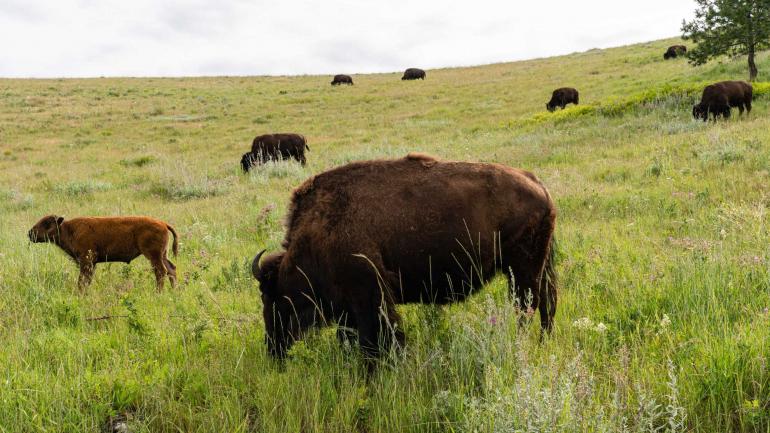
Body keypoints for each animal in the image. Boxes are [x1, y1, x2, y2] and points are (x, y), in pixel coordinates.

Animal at [29, 215, 179, 290]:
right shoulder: (91, 264)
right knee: (171, 269)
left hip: (153, 256)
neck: (69, 229)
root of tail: (163, 224)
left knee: (161, 272)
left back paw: (158, 292)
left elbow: (82, 280)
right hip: (162, 255)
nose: (30, 233)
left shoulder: (86, 261)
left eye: (47, 223)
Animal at [251, 153, 557, 361]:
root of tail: (537, 184)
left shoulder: (368, 297)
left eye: (271, 298)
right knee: (547, 303)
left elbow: (376, 337)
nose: (272, 349)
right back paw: (543, 343)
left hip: (523, 270)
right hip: (535, 268)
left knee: (527, 306)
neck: (318, 230)